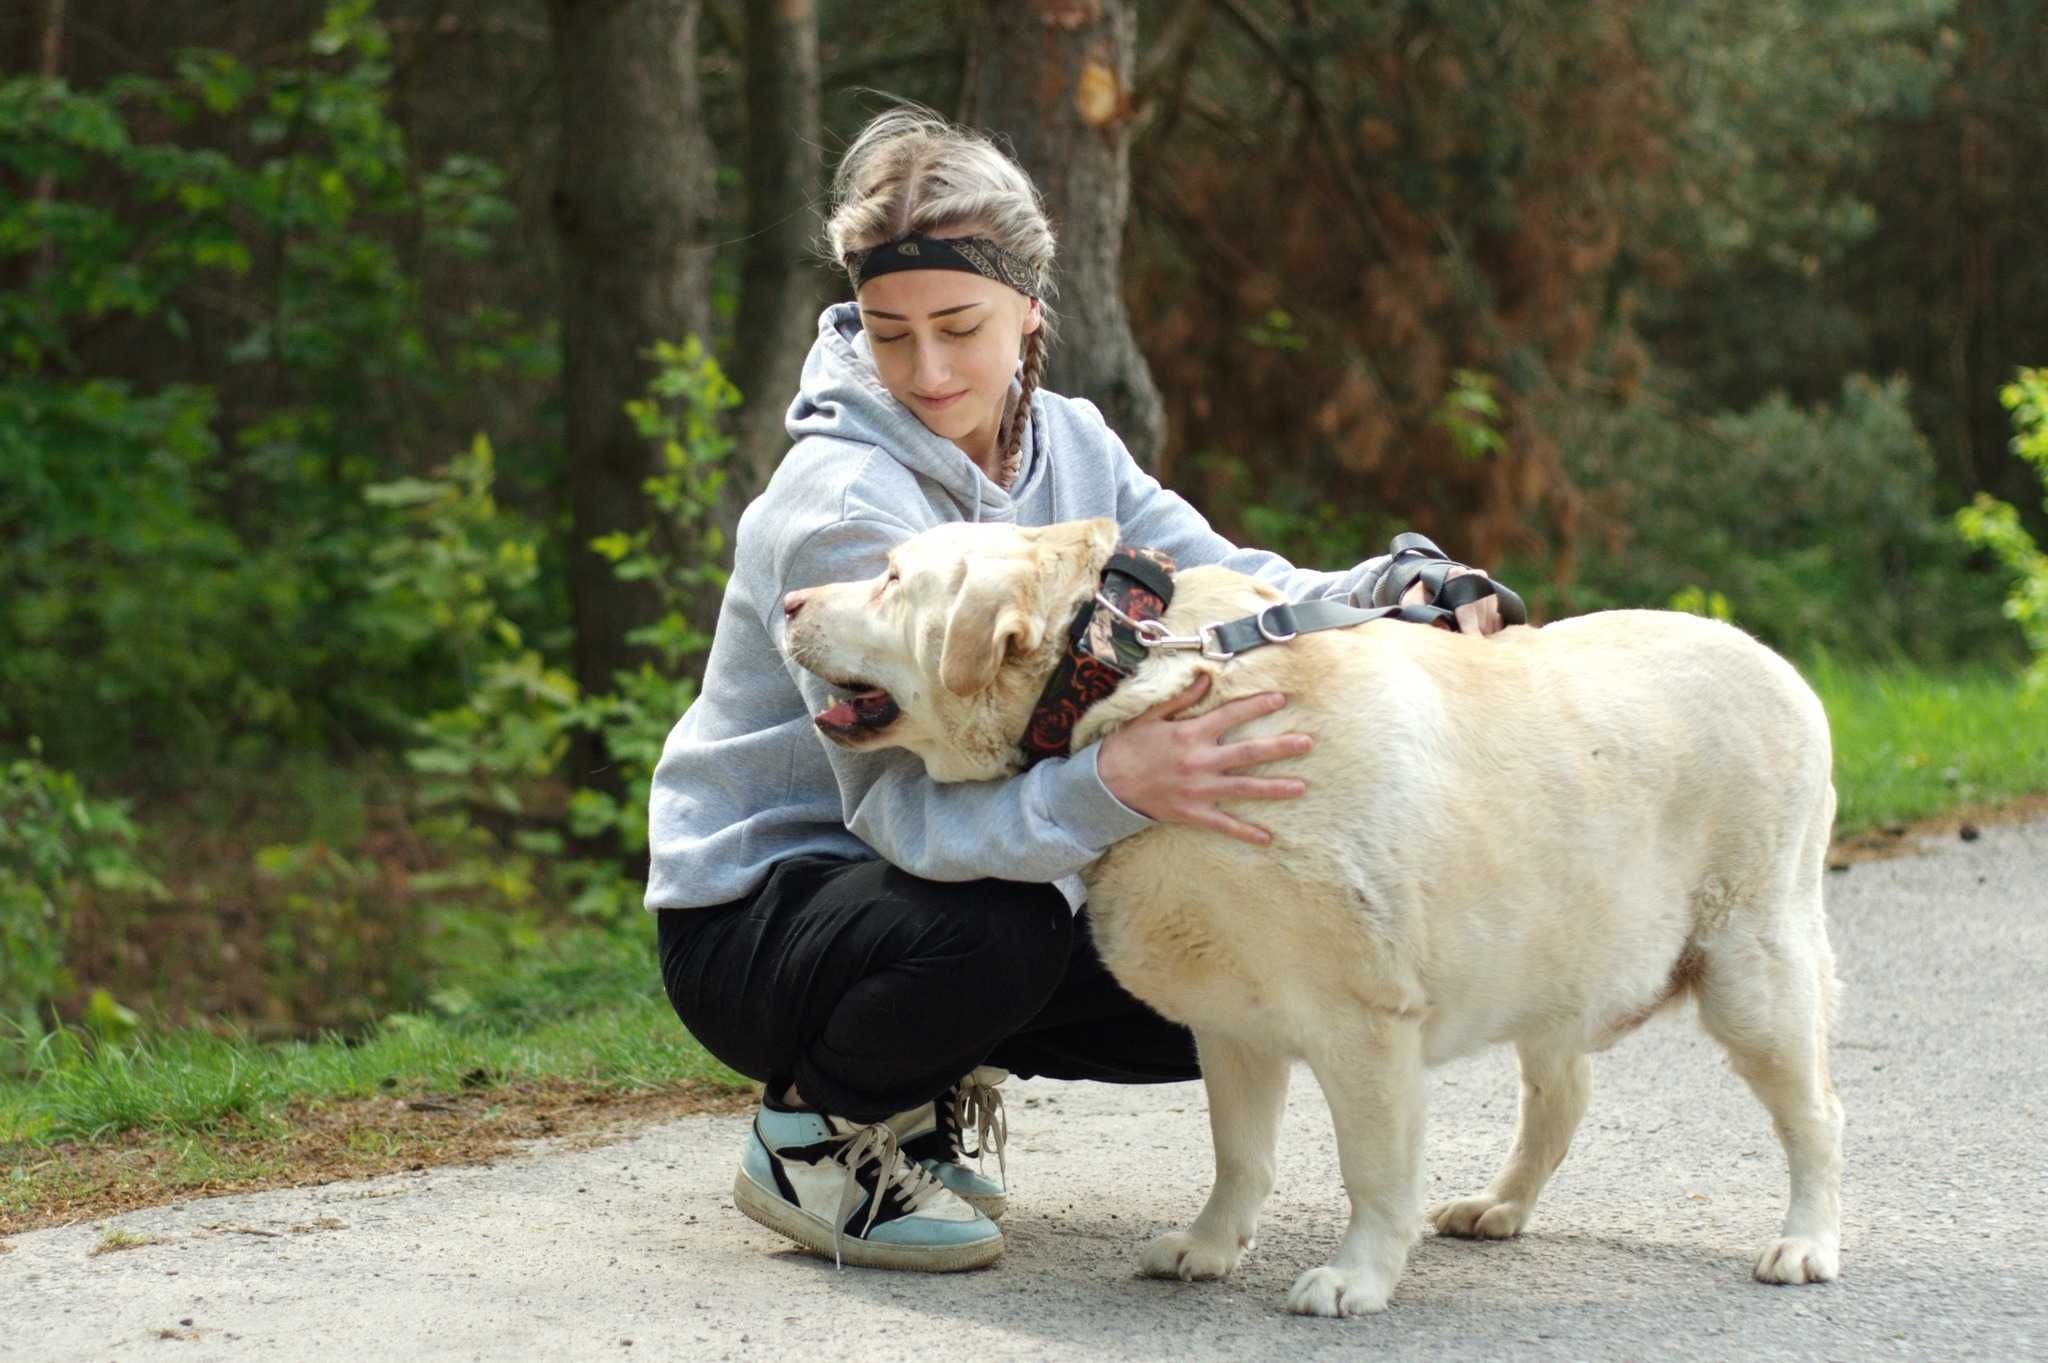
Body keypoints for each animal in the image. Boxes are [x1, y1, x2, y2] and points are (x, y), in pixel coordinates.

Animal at [778, 515, 1843, 1309]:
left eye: (889, 577)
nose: (787, 600)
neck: (1116, 669)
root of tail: (1784, 668)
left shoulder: (1365, 1022)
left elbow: (1372, 1169)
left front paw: (1357, 1278)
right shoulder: (1231, 1021)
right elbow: (1238, 1153)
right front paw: (1209, 1245)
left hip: (1753, 971)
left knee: (1814, 1114)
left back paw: (1805, 1243)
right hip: (1558, 955)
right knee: (1562, 1096)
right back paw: (1499, 1206)